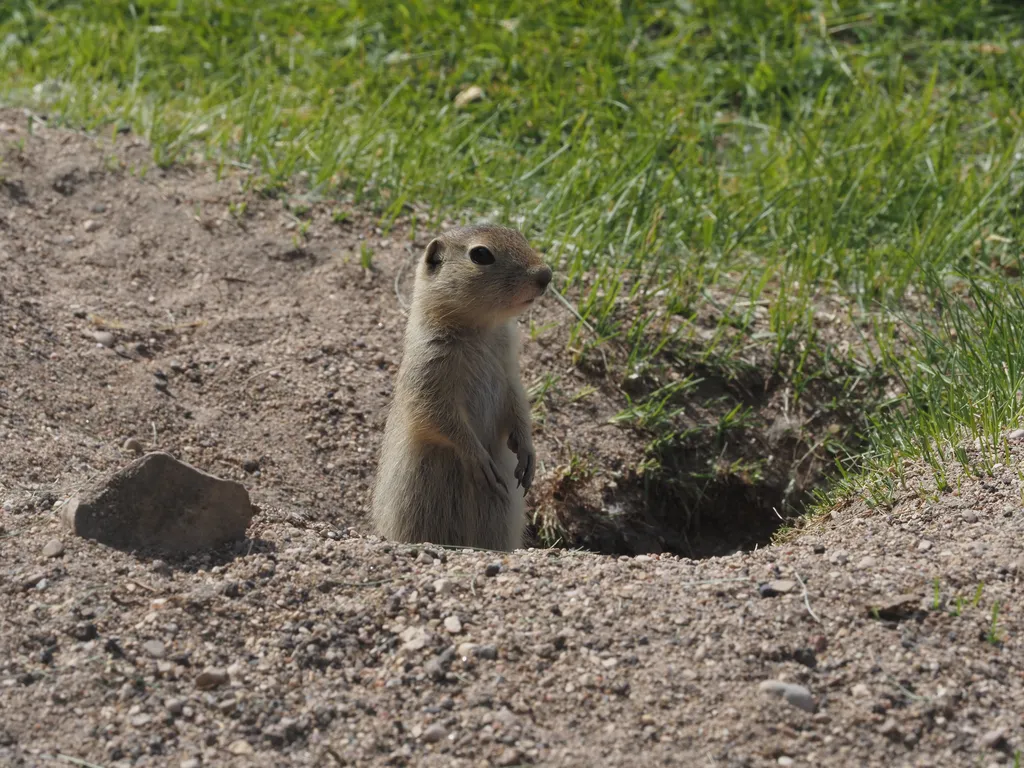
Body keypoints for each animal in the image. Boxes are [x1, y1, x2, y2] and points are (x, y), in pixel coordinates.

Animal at [372, 224, 552, 552]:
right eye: (480, 254)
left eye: (520, 235)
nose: (546, 275)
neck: (480, 331)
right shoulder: (428, 373)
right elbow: (439, 418)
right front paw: (480, 461)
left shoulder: (510, 371)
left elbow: (519, 405)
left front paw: (528, 455)